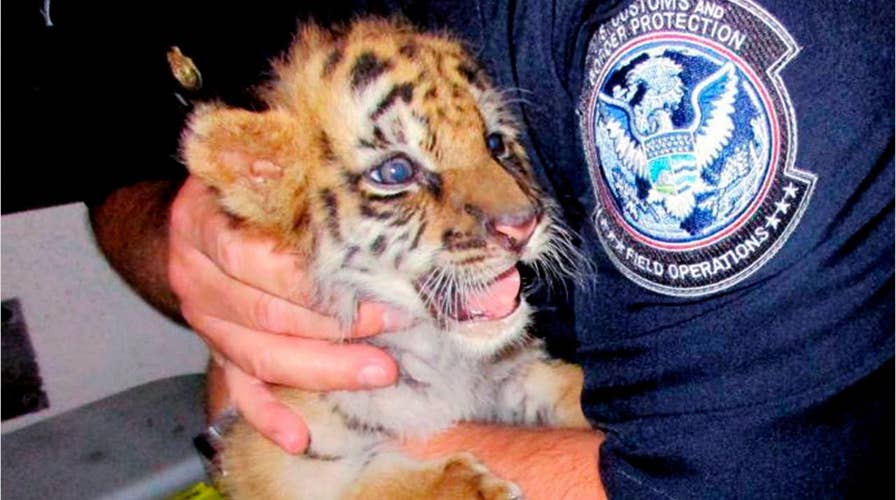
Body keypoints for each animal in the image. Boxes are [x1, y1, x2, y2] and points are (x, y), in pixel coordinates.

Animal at [182, 18, 590, 500]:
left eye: (494, 143)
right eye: (396, 172)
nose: (523, 225)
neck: (438, 354)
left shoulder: (514, 376)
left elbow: (570, 387)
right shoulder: (280, 459)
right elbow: (377, 483)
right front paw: (477, 488)